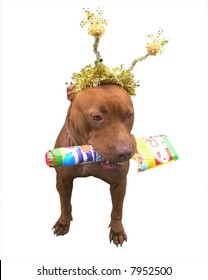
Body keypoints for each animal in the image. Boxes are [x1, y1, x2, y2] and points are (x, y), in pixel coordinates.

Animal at [52, 84, 136, 246]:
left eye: (129, 115)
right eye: (96, 117)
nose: (125, 152)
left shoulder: (119, 183)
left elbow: (117, 210)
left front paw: (117, 230)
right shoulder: (63, 180)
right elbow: (65, 204)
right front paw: (63, 222)